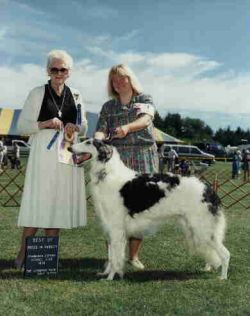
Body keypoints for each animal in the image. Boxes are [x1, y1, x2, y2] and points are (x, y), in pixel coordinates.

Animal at [70, 139, 230, 280]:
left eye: (88, 142)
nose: (69, 148)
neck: (108, 173)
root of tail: (208, 188)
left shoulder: (116, 229)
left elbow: (115, 258)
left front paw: (110, 277)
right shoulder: (110, 228)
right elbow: (111, 257)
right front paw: (107, 274)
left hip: (203, 228)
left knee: (225, 254)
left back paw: (222, 277)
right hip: (196, 228)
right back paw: (207, 268)